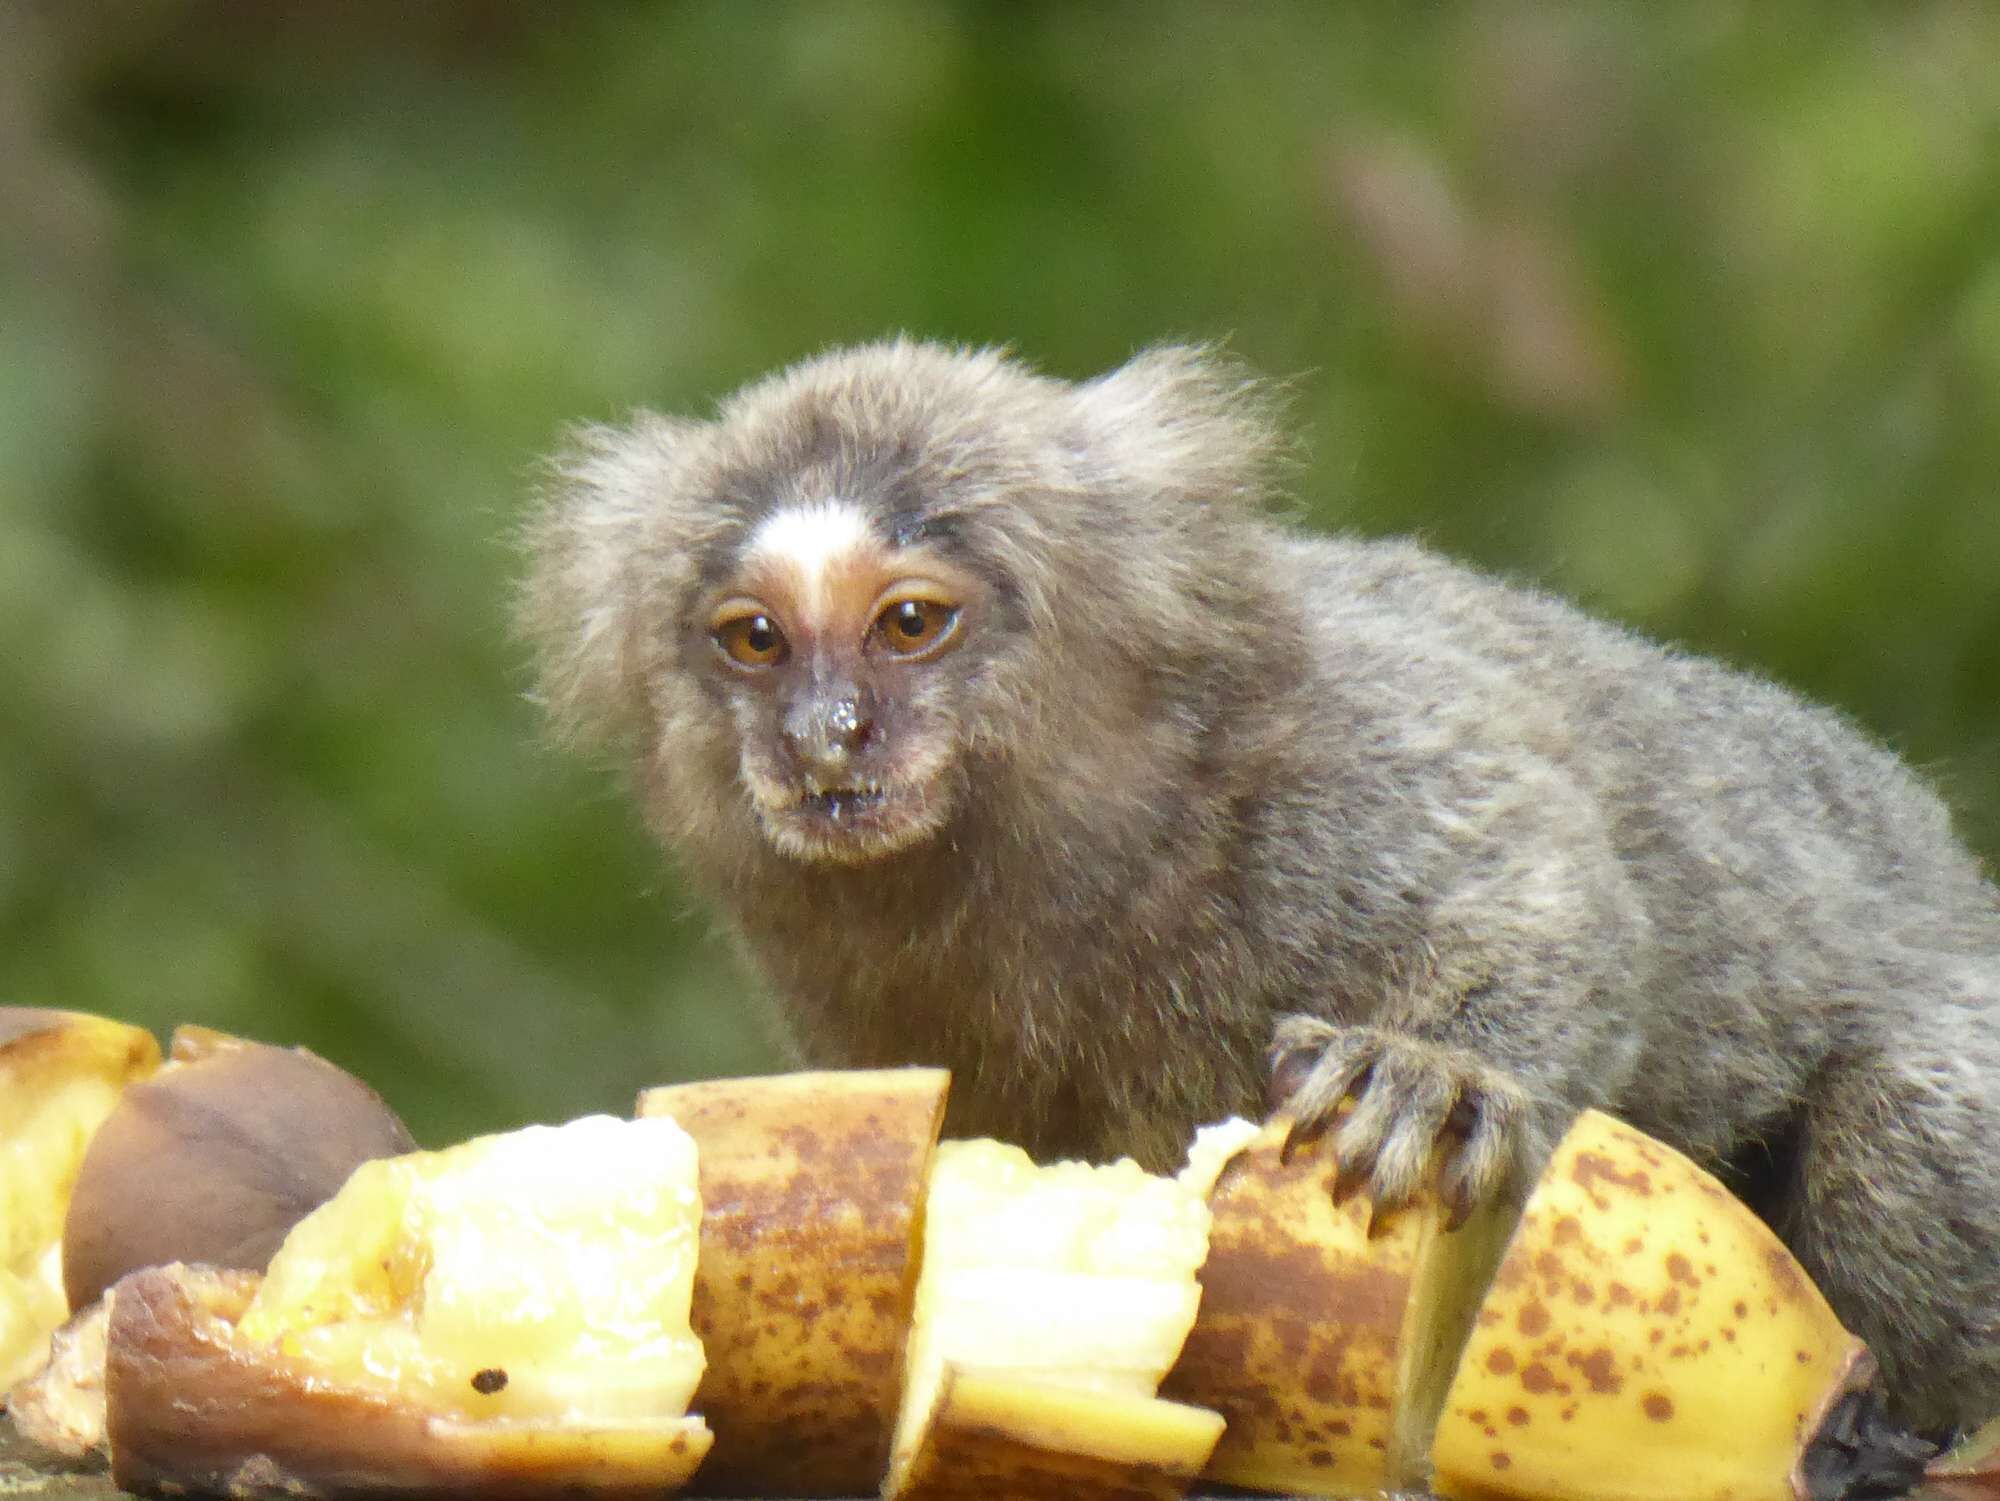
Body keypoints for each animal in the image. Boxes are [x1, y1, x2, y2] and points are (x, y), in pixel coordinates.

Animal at [519, 339, 2000, 1433]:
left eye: (908, 622)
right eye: (755, 640)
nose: (826, 738)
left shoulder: (1340, 754)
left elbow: (1543, 893)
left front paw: (1429, 1077)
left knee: (1898, 1123)